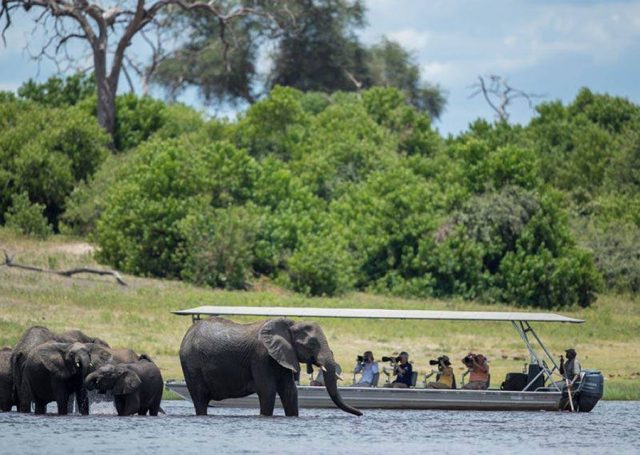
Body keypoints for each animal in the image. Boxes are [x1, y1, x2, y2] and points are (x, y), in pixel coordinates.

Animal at [178, 318, 362, 416]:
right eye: (311, 344)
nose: (361, 414)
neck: (290, 325)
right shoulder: (261, 357)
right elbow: (267, 390)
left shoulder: (284, 356)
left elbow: (290, 392)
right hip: (191, 364)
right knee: (200, 399)